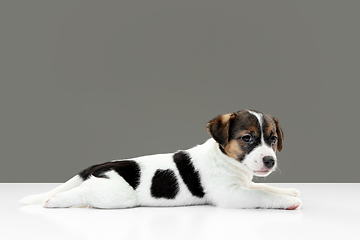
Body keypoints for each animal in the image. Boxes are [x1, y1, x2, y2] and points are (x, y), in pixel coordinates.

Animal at [19, 109, 300, 209]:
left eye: (273, 139)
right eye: (247, 138)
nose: (269, 161)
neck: (225, 158)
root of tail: (101, 165)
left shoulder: (243, 184)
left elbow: (264, 187)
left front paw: (289, 192)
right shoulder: (231, 195)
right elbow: (261, 194)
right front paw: (287, 201)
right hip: (117, 195)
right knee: (83, 193)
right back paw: (53, 200)